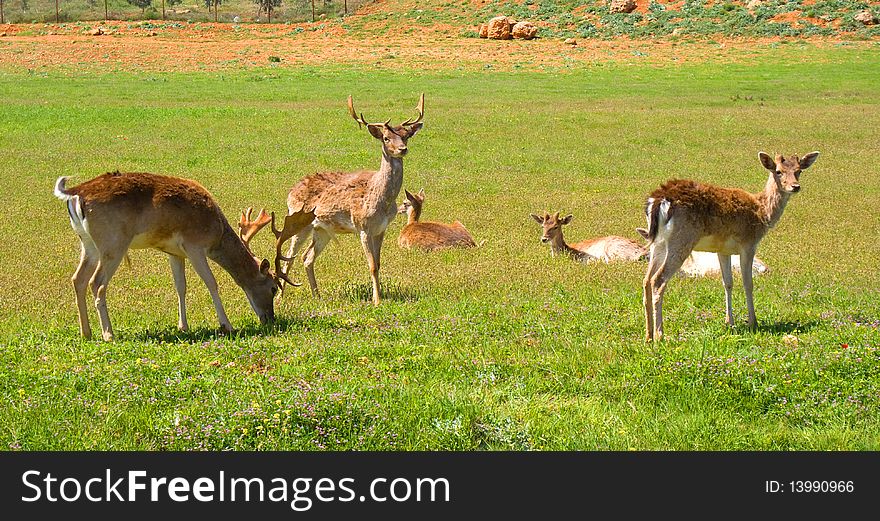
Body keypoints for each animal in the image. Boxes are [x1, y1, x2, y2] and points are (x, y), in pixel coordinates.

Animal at [53, 171, 310, 342]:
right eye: (273, 288)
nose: (270, 319)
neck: (216, 234)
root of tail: (74, 193)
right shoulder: (194, 244)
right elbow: (211, 283)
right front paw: (226, 325)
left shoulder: (174, 252)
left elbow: (180, 286)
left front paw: (183, 326)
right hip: (113, 242)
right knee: (96, 283)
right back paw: (108, 334)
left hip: (88, 244)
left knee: (77, 279)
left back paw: (86, 333)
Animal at [278, 93, 422, 304]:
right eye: (386, 138)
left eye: (405, 136)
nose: (402, 149)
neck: (383, 201)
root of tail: (291, 190)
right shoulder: (363, 227)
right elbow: (372, 265)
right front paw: (376, 301)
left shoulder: (381, 229)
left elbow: (378, 263)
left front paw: (381, 295)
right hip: (298, 221)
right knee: (290, 256)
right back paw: (280, 297)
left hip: (321, 229)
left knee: (307, 257)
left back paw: (317, 295)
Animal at [640, 150, 820, 344]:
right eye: (778, 171)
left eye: (799, 170)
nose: (795, 186)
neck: (762, 213)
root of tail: (658, 199)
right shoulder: (748, 244)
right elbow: (748, 283)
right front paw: (753, 322)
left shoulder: (723, 250)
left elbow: (727, 283)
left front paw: (730, 323)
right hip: (681, 239)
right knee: (658, 280)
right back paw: (660, 335)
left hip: (658, 243)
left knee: (646, 280)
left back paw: (648, 335)